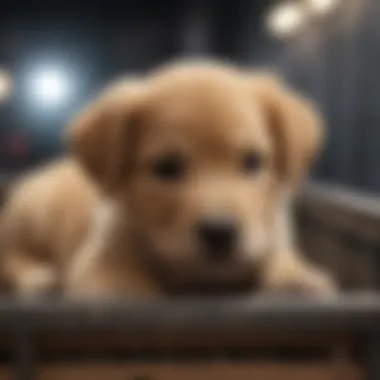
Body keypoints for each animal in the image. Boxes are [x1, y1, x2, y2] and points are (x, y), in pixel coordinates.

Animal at [0, 60, 336, 296]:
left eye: (252, 161)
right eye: (166, 168)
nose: (219, 233)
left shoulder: (272, 234)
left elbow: (278, 257)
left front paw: (296, 278)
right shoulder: (99, 265)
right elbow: (128, 291)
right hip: (31, 213)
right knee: (9, 254)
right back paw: (35, 276)